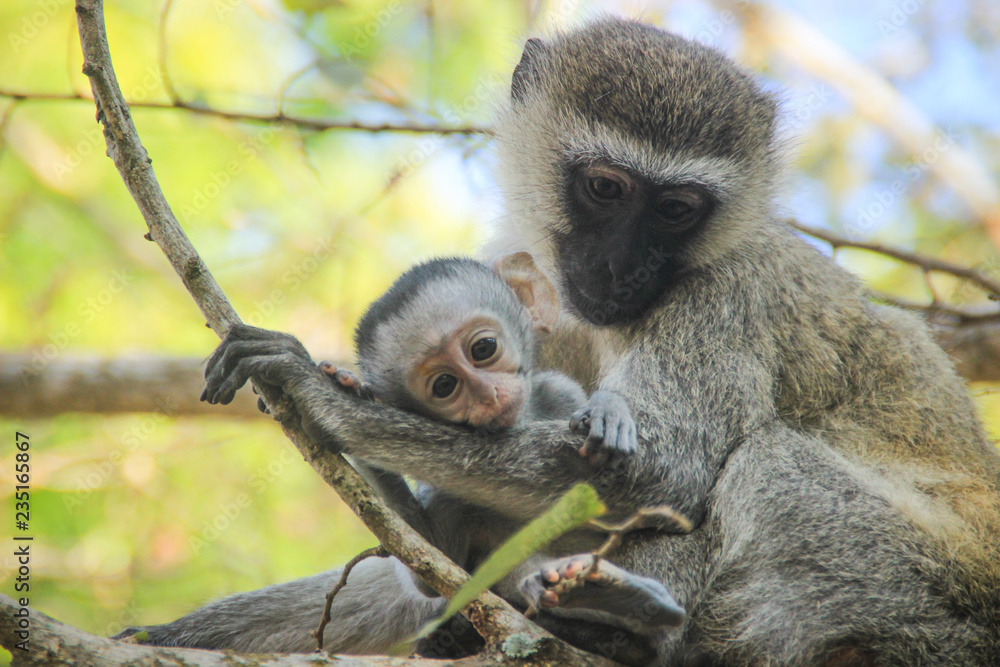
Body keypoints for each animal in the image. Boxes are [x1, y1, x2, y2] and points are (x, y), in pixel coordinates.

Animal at [119, 17, 1000, 666]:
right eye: (606, 188)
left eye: (676, 209)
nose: (620, 266)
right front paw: (170, 634)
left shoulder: (724, 294)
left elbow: (661, 471)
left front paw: (325, 401)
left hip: (910, 593)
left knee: (765, 462)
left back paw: (628, 628)